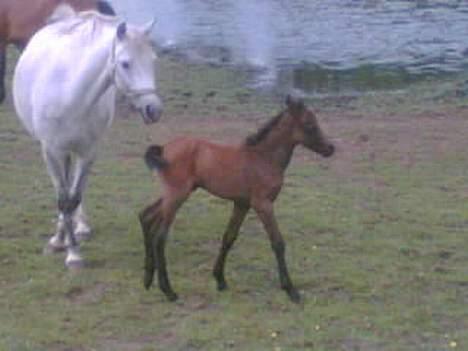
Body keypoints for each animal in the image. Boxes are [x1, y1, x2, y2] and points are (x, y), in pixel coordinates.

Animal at [12, 5, 163, 268]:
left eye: (152, 60)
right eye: (125, 64)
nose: (153, 110)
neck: (70, 94)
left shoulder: (88, 151)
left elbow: (74, 197)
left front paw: (73, 249)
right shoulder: (51, 151)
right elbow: (63, 198)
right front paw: (65, 247)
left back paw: (78, 227)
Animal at [137, 95, 334, 302]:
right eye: (309, 124)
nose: (330, 148)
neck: (264, 158)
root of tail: (164, 148)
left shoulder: (242, 204)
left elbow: (229, 238)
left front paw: (220, 279)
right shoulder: (262, 204)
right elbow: (277, 242)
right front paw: (290, 290)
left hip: (176, 193)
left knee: (146, 216)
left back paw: (147, 279)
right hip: (177, 195)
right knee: (160, 236)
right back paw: (168, 290)